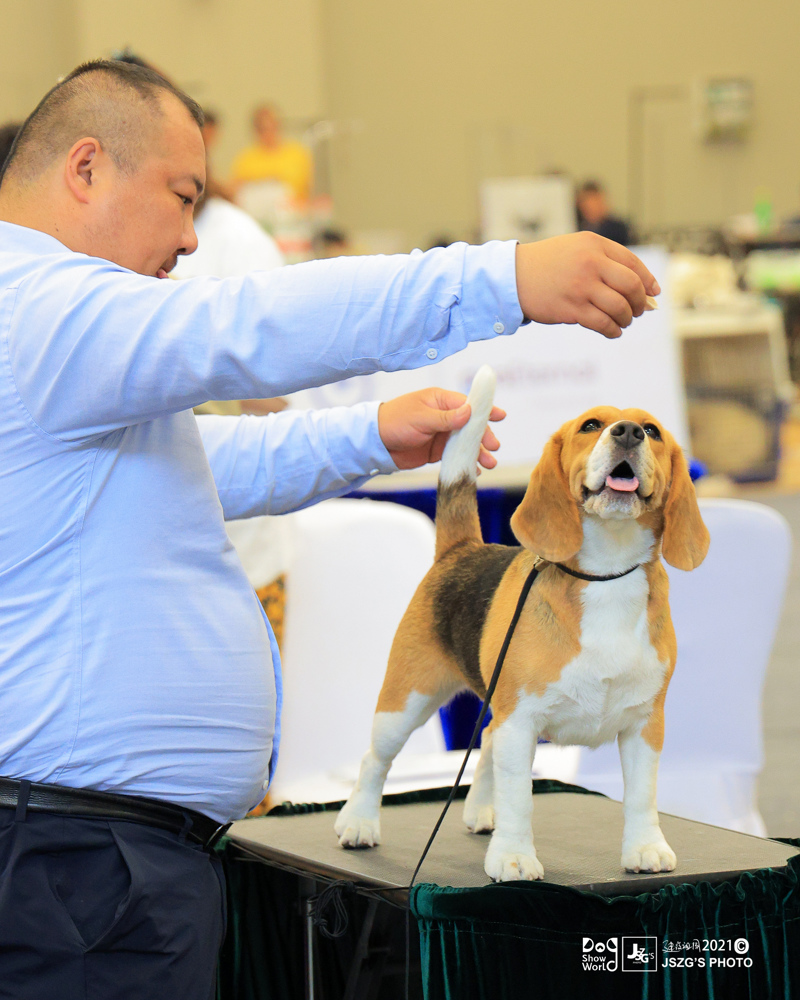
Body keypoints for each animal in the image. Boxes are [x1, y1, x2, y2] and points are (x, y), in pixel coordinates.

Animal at [335, 366, 709, 882]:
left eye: (652, 431)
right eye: (591, 426)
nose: (628, 433)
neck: (606, 573)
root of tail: (462, 548)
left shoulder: (644, 723)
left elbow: (641, 796)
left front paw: (645, 849)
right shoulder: (521, 720)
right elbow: (521, 798)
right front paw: (513, 856)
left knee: (485, 738)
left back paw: (479, 810)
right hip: (406, 699)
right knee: (375, 759)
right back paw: (358, 821)